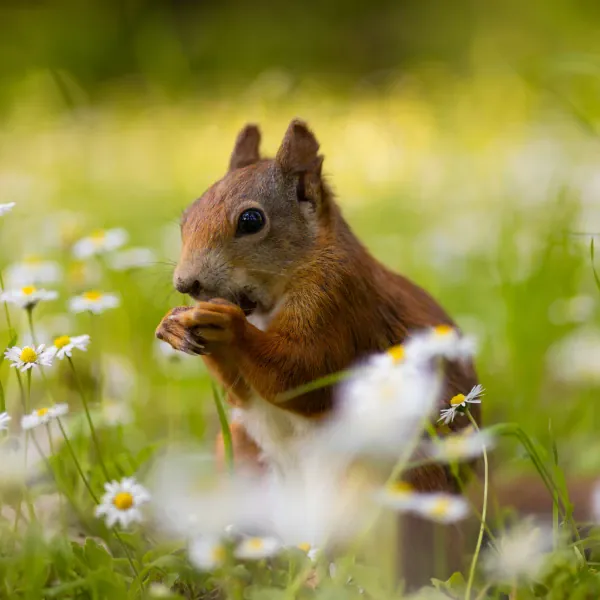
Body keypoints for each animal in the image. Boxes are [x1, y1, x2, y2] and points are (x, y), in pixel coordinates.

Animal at [155, 118, 478, 492]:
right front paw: (172, 325)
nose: (185, 284)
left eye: (251, 220)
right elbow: (243, 394)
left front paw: (229, 325)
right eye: (186, 217)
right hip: (240, 450)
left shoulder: (336, 299)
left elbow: (303, 373)